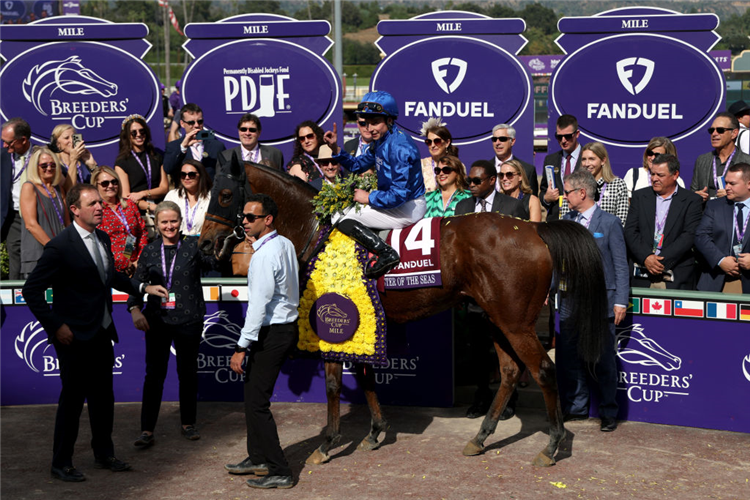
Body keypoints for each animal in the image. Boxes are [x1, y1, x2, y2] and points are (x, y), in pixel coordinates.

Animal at [200, 157, 612, 468]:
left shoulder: (331, 318)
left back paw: (552, 444)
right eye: (207, 192)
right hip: (496, 318)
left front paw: (327, 443)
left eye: (224, 194)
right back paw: (481, 438)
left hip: (515, 322)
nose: (204, 243)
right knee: (511, 372)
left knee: (543, 370)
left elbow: (334, 383)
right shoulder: (360, 320)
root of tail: (536, 229)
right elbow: (365, 375)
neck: (315, 228)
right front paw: (376, 430)